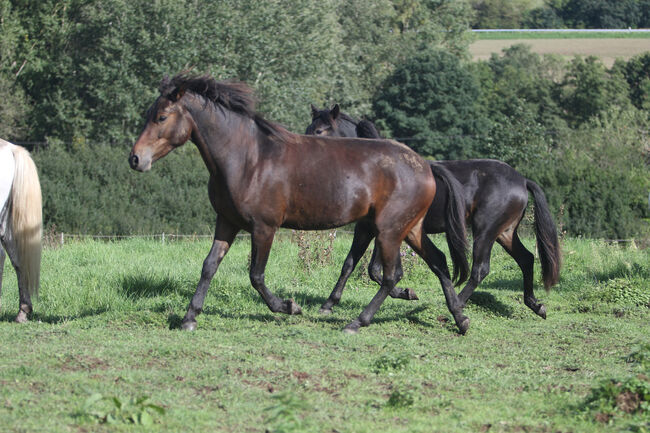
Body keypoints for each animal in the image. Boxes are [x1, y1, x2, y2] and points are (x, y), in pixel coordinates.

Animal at [128, 73, 470, 330]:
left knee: (389, 276)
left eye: (161, 116)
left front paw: (290, 307)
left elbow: (256, 276)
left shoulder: (264, 227)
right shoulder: (226, 222)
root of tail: (425, 165)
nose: (135, 159)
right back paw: (460, 318)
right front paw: (189, 318)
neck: (248, 159)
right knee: (439, 261)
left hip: (388, 230)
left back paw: (357, 322)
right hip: (409, 229)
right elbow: (209, 266)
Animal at [306, 105, 560, 318]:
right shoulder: (372, 228)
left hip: (485, 231)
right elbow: (358, 265)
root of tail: (522, 180)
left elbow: (369, 268)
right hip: (505, 233)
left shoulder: (376, 228)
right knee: (526, 259)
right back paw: (536, 305)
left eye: (319, 130)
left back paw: (455, 306)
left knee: (480, 270)